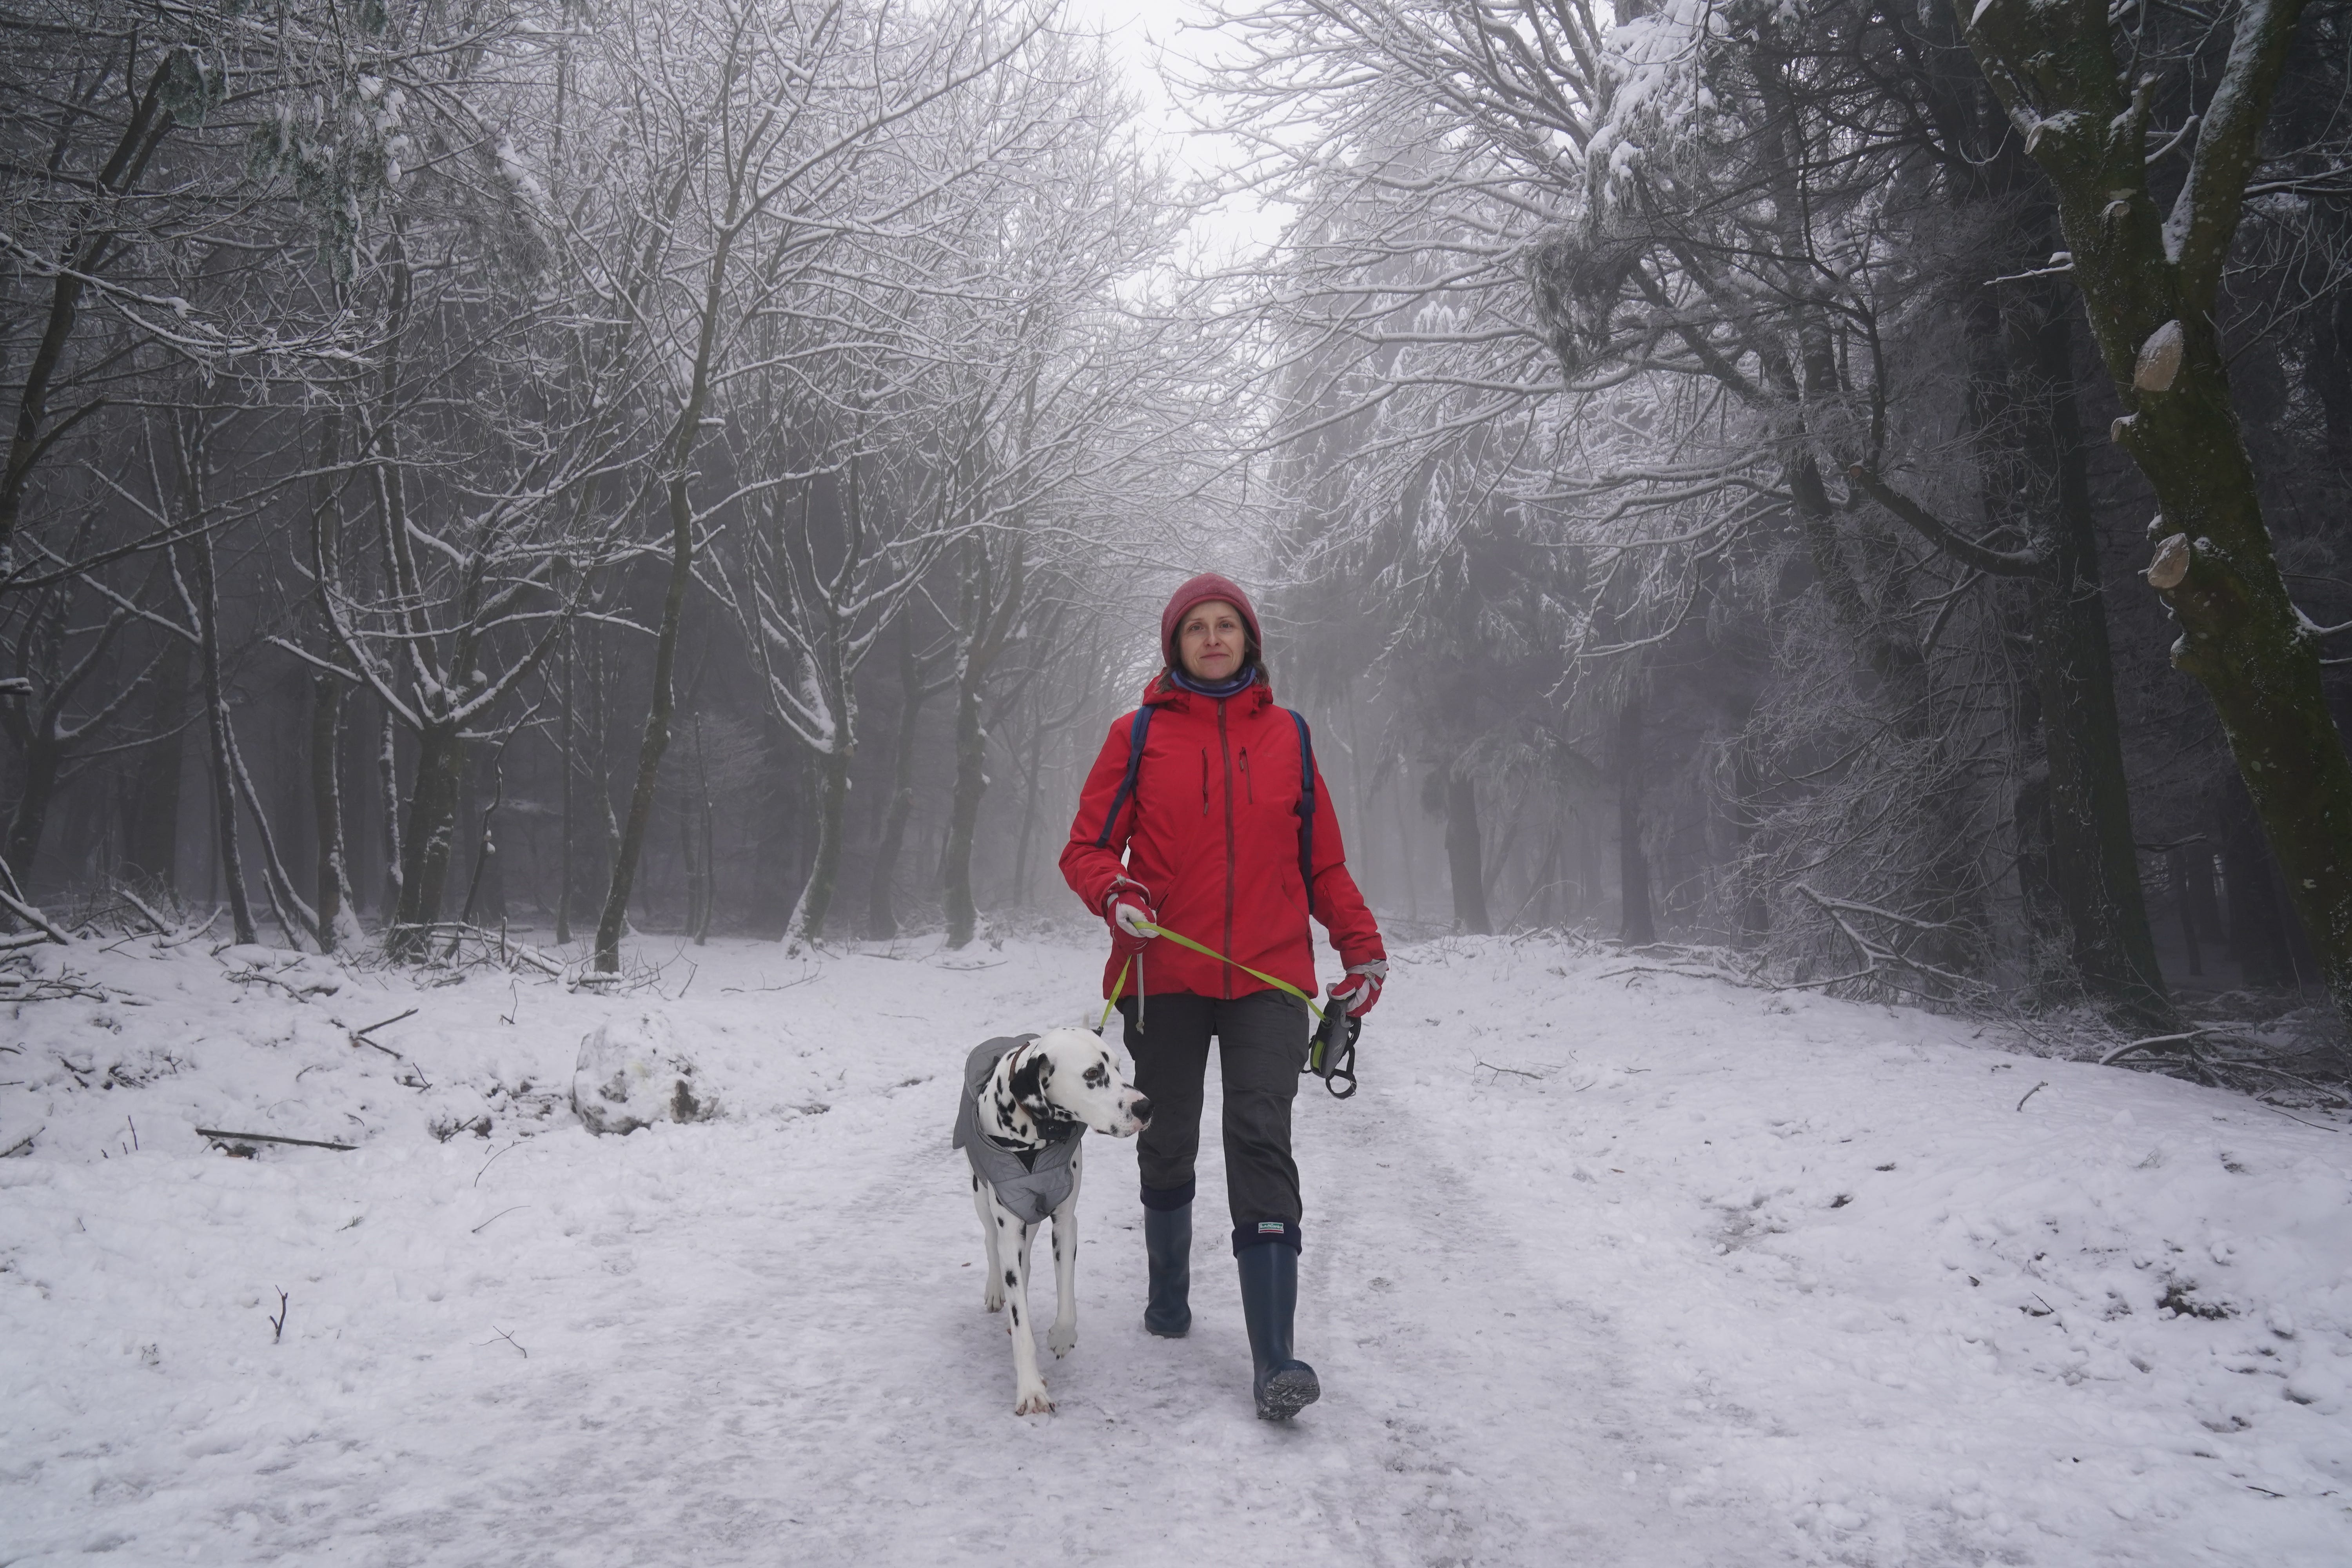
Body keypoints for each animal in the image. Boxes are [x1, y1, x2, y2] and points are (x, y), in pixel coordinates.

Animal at [946, 1025, 1148, 1420]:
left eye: (1118, 1067)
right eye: (1092, 1074)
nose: (1145, 1106)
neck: (1035, 1136)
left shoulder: (1065, 1221)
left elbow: (1066, 1293)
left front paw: (1062, 1336)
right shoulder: (1010, 1224)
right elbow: (1021, 1321)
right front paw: (1031, 1390)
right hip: (983, 1198)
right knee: (991, 1243)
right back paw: (997, 1290)